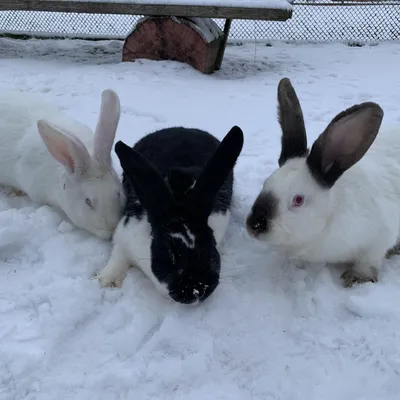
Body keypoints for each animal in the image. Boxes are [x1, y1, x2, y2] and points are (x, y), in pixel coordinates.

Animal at [97, 125, 244, 304]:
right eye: (170, 255)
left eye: (211, 246)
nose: (198, 289)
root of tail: (181, 128)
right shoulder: (125, 233)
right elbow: (118, 254)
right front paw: (107, 281)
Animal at [244, 76, 396, 288]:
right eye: (266, 182)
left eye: (298, 200)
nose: (254, 225)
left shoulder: (380, 237)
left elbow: (368, 261)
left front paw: (356, 279)